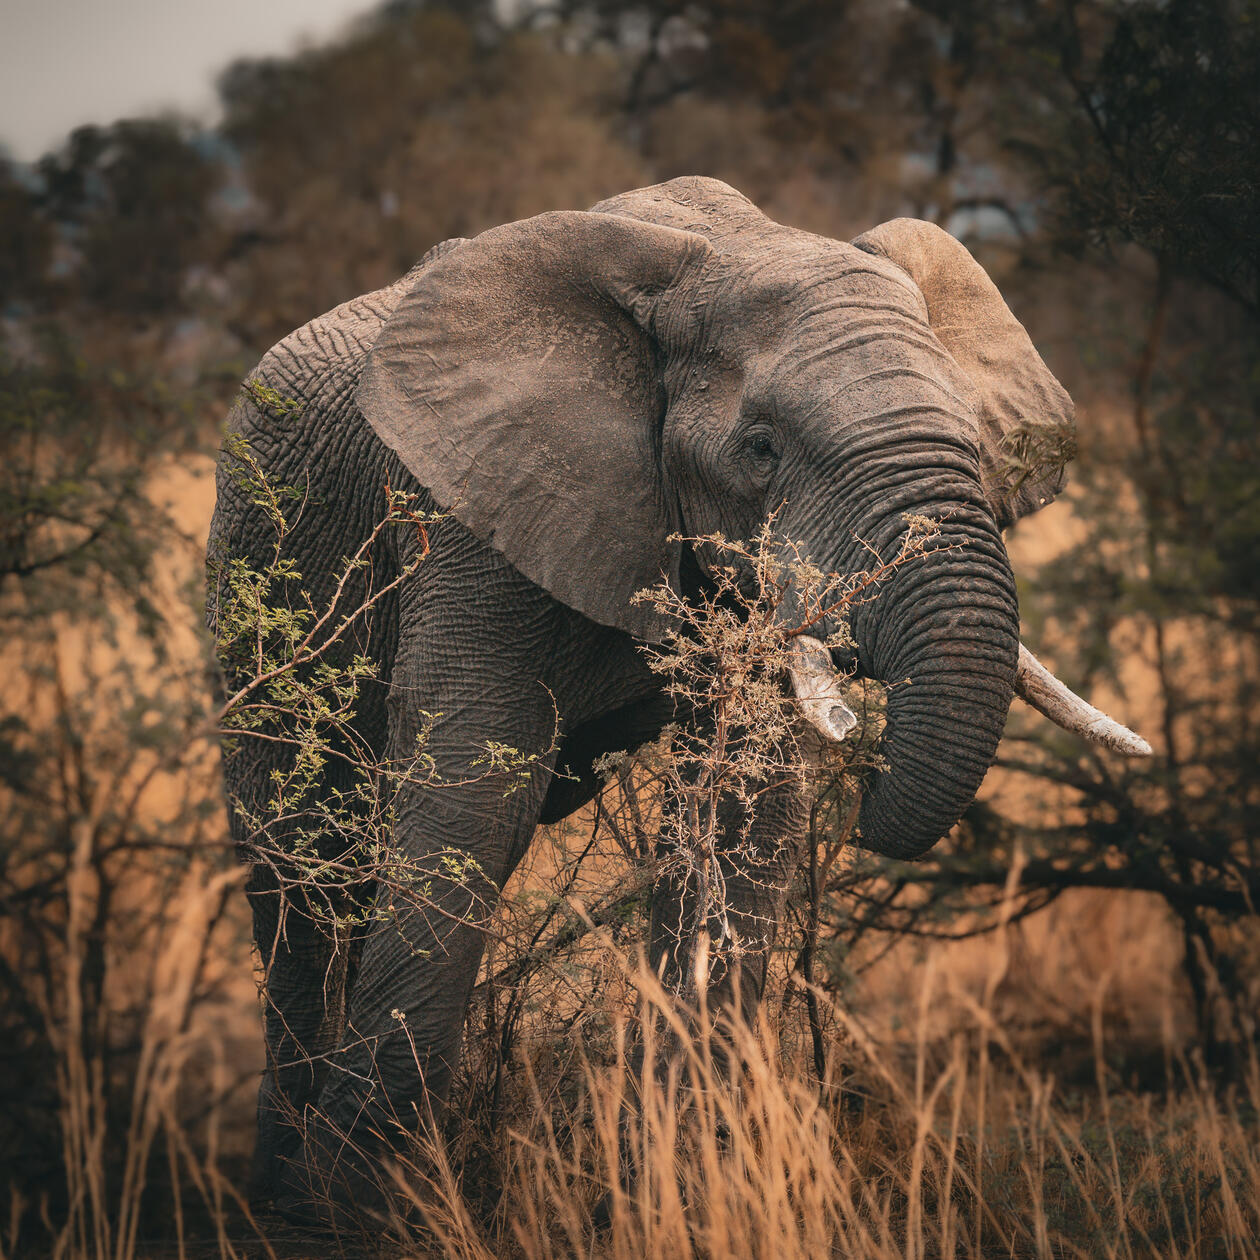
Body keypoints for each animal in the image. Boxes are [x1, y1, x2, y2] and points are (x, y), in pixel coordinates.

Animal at [206, 176, 1149, 1221]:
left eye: (977, 446)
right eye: (761, 448)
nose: (869, 807)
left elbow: (745, 809)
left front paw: (688, 1188)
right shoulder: (474, 514)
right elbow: (471, 796)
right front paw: (343, 1220)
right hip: (257, 577)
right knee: (306, 867)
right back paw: (276, 1202)